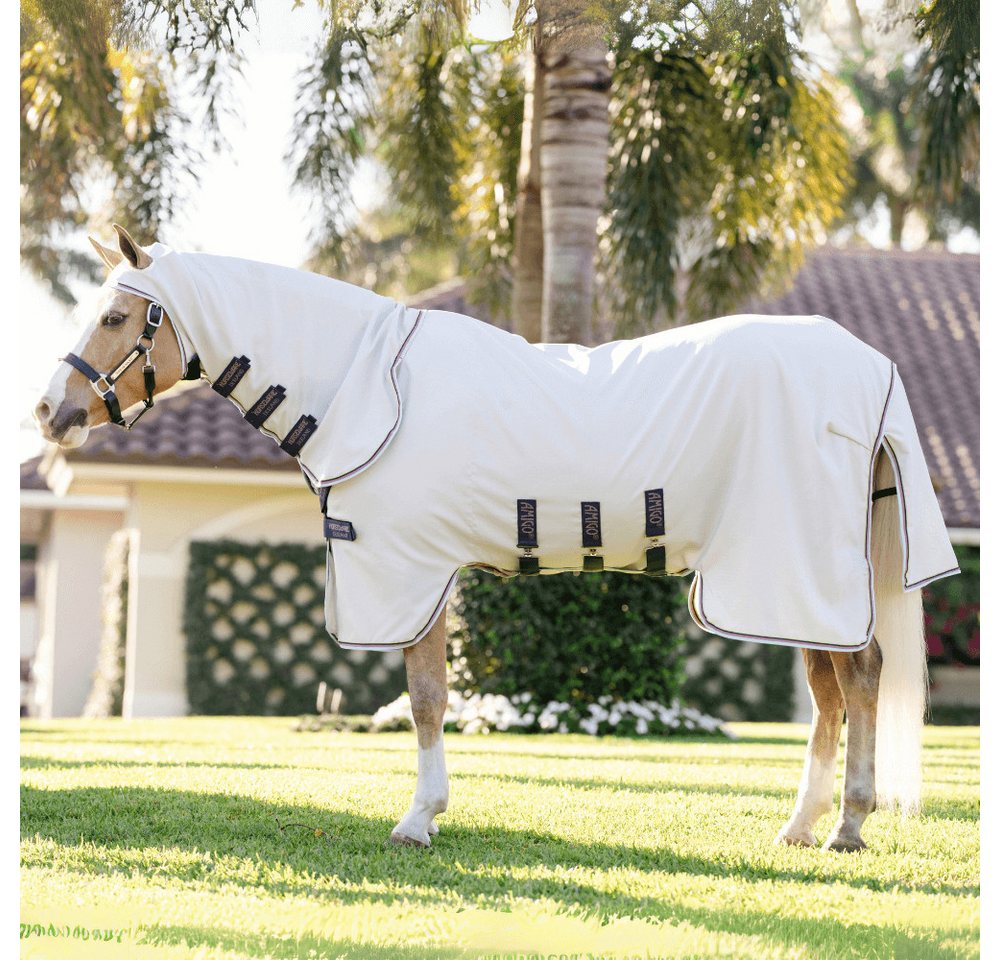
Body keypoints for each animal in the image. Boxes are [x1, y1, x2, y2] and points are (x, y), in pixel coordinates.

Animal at [35, 224, 957, 852]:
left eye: (116, 315)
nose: (50, 411)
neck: (369, 384)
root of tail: (869, 367)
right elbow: (429, 695)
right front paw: (426, 811)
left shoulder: (411, 572)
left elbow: (425, 698)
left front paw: (419, 819)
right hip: (786, 579)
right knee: (830, 693)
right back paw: (802, 825)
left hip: (793, 571)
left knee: (860, 679)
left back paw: (846, 826)